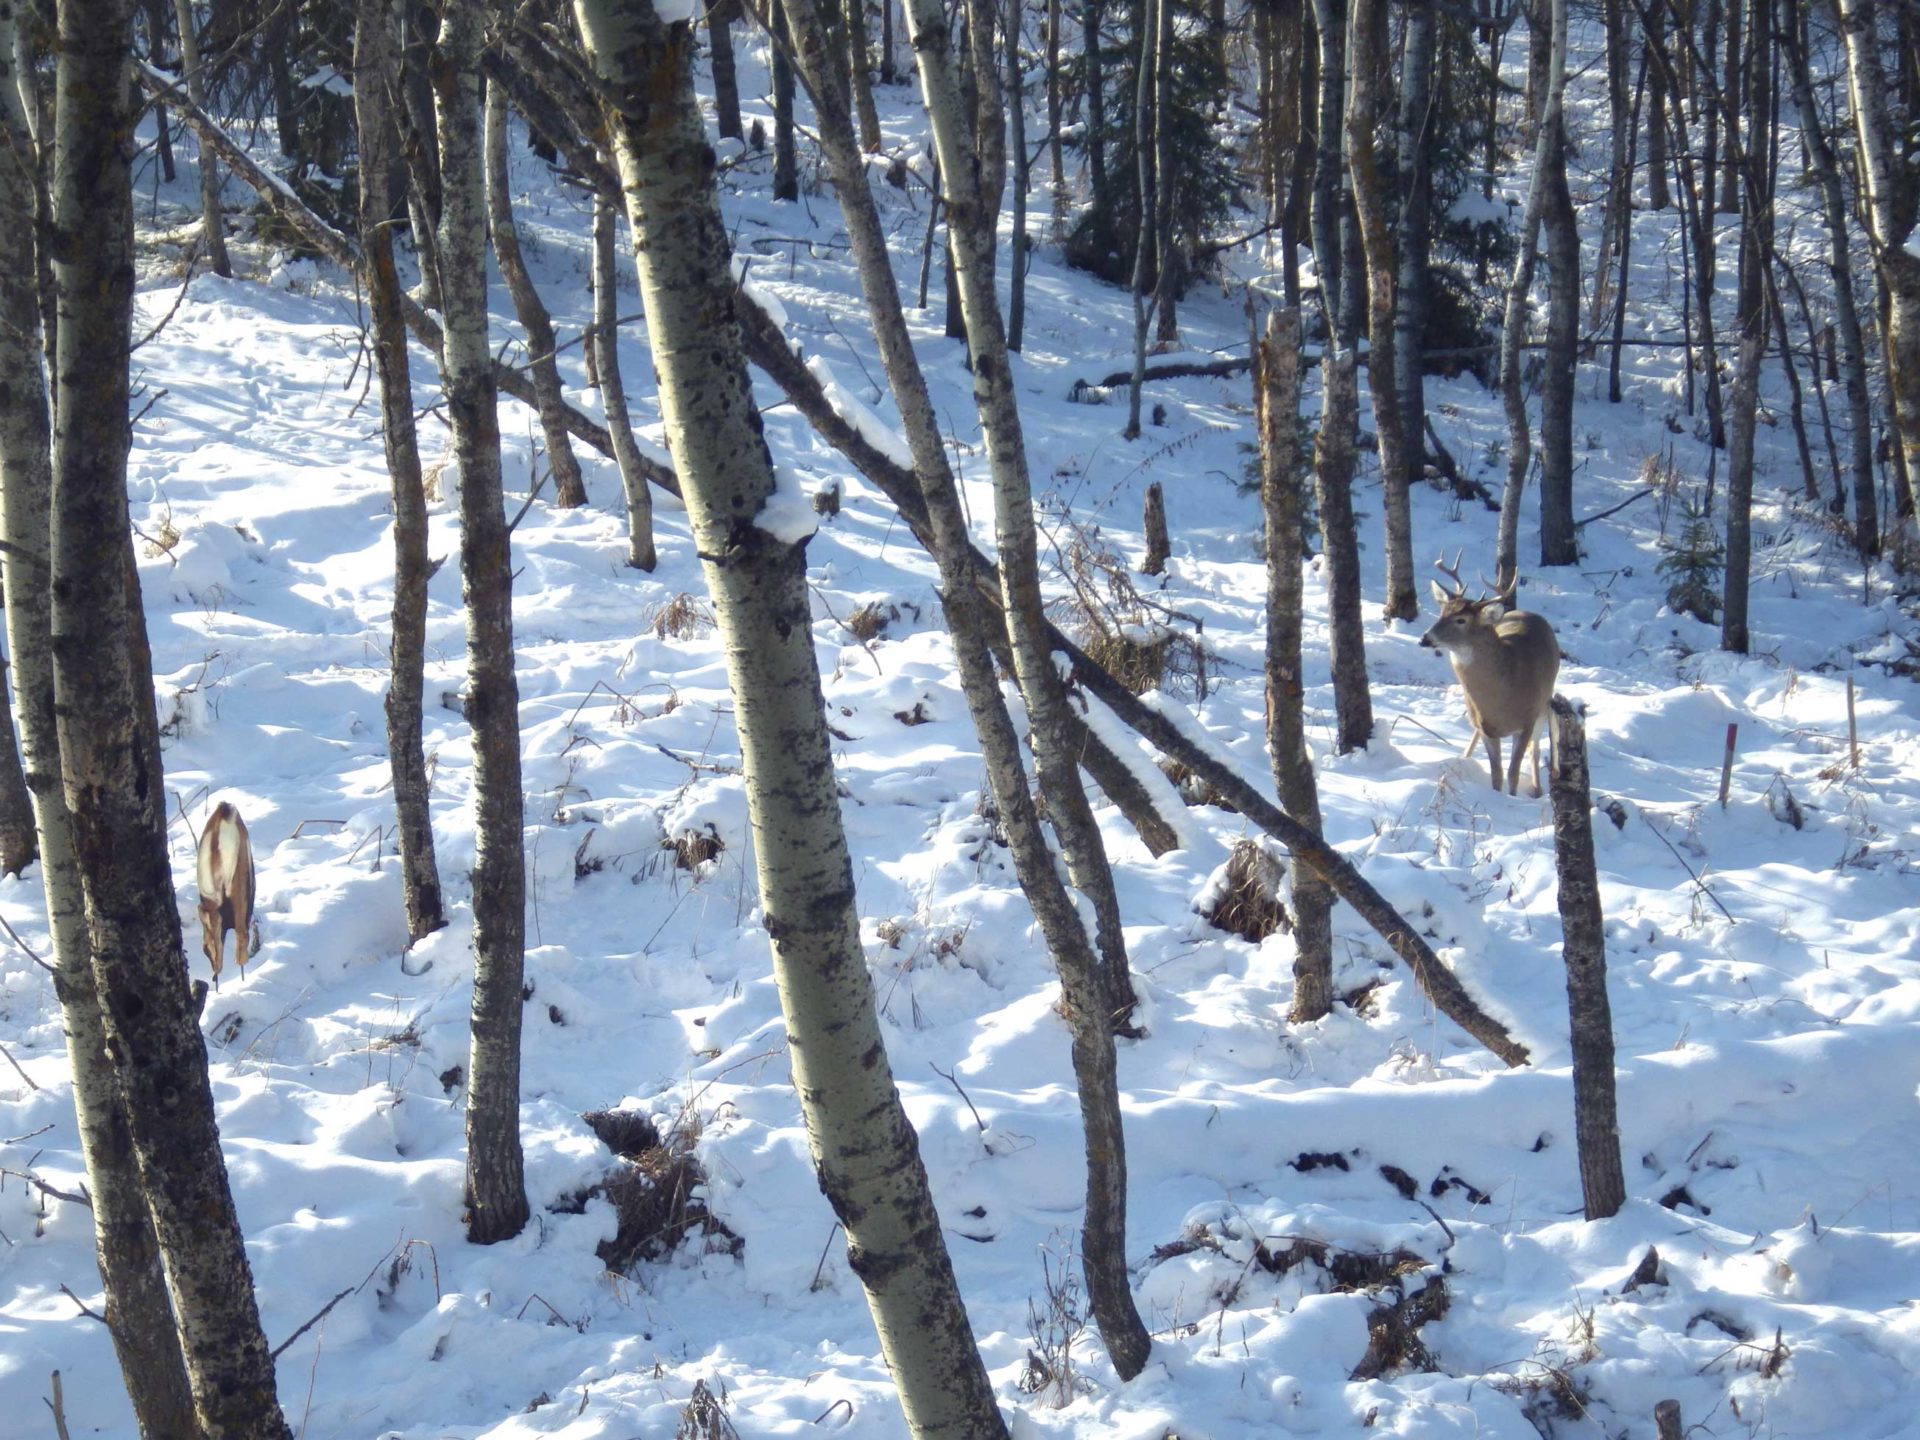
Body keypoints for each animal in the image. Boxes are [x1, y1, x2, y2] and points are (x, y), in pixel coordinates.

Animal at [1428, 552, 1559, 802]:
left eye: (1461, 620)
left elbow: (1513, 772)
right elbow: (1496, 774)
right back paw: (1465, 755)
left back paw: (1537, 789)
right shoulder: (1486, 727)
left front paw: (1513, 798)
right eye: (1442, 613)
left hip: (1544, 704)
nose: (1425, 638)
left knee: (1536, 750)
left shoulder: (1527, 721)